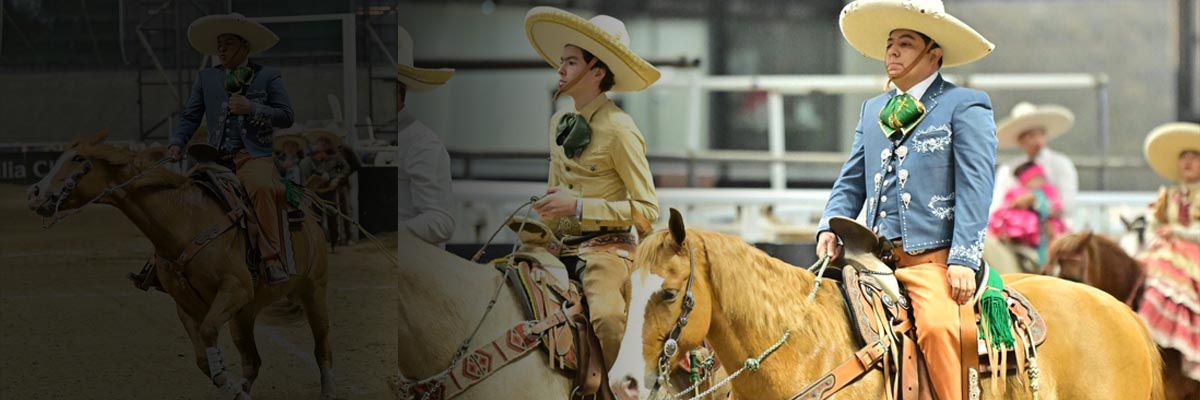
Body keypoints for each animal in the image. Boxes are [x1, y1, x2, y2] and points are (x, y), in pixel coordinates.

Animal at [25, 130, 336, 398]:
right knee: (252, 361)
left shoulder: (234, 288)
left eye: (78, 159)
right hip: (245, 313)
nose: (34, 193)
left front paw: (233, 390)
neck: (184, 222)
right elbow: (203, 360)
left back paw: (328, 390)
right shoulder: (187, 307)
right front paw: (234, 391)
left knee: (322, 349)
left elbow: (209, 334)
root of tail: (308, 214)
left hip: (314, 291)